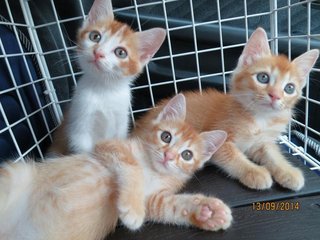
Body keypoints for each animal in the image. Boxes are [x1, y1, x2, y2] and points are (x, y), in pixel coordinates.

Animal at [0, 94, 230, 240]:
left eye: (187, 155)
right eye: (166, 136)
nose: (169, 156)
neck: (152, 168)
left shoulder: (153, 198)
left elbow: (168, 206)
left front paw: (207, 211)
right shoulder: (108, 145)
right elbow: (131, 164)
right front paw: (132, 209)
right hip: (14, 175)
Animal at [48, 0, 166, 155]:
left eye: (121, 52)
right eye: (95, 36)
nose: (98, 53)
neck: (104, 89)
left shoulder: (121, 122)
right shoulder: (79, 126)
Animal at [134, 27, 318, 191]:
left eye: (289, 88)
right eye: (263, 77)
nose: (275, 96)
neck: (259, 117)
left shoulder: (262, 142)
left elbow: (272, 154)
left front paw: (288, 172)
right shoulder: (221, 140)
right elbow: (234, 157)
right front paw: (256, 173)